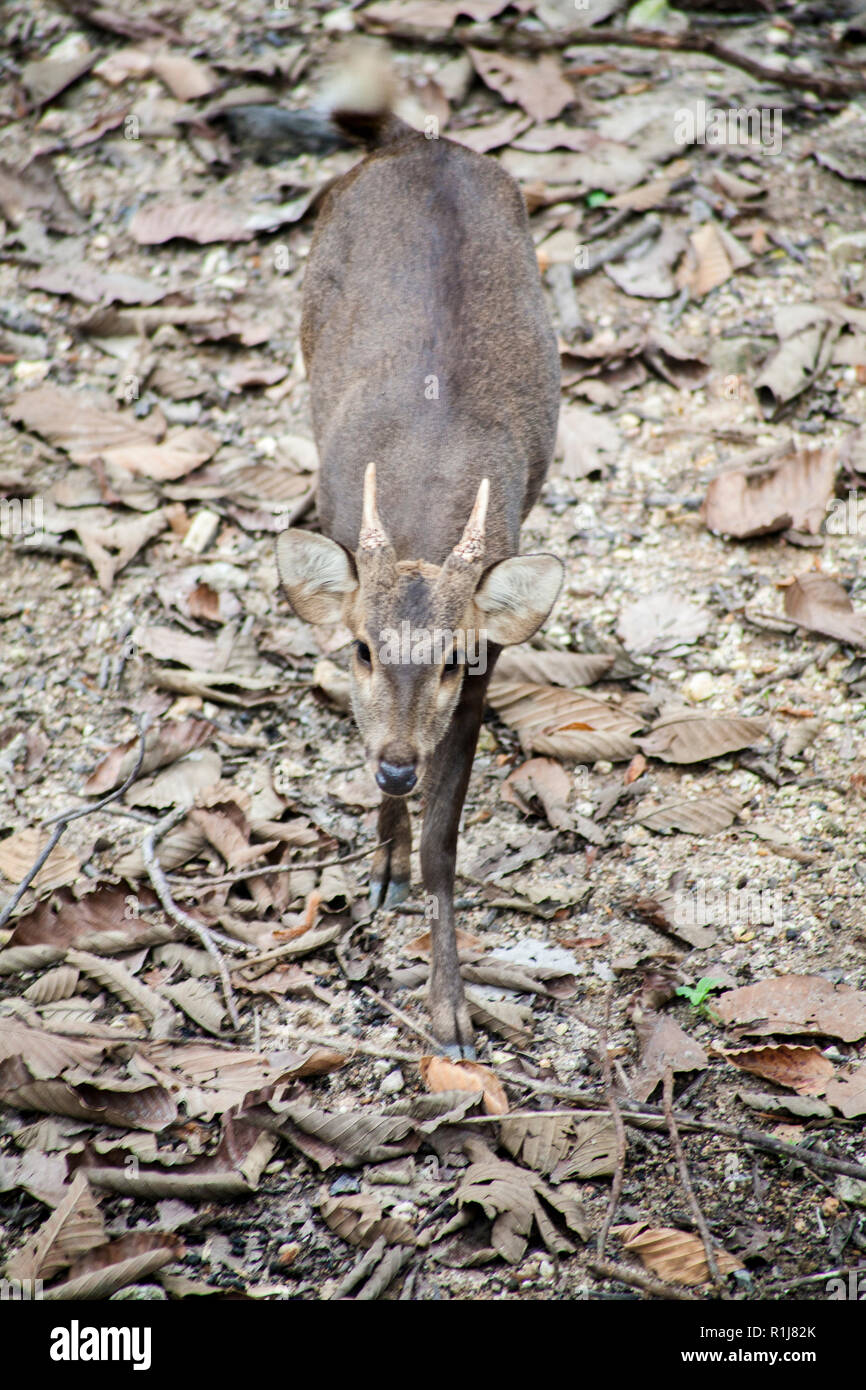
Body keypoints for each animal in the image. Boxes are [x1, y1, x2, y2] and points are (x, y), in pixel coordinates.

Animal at [276, 47, 563, 1057]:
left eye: (451, 658)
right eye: (360, 649)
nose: (399, 761)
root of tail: (418, 138)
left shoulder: (486, 671)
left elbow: (447, 843)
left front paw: (450, 1010)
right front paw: (381, 867)